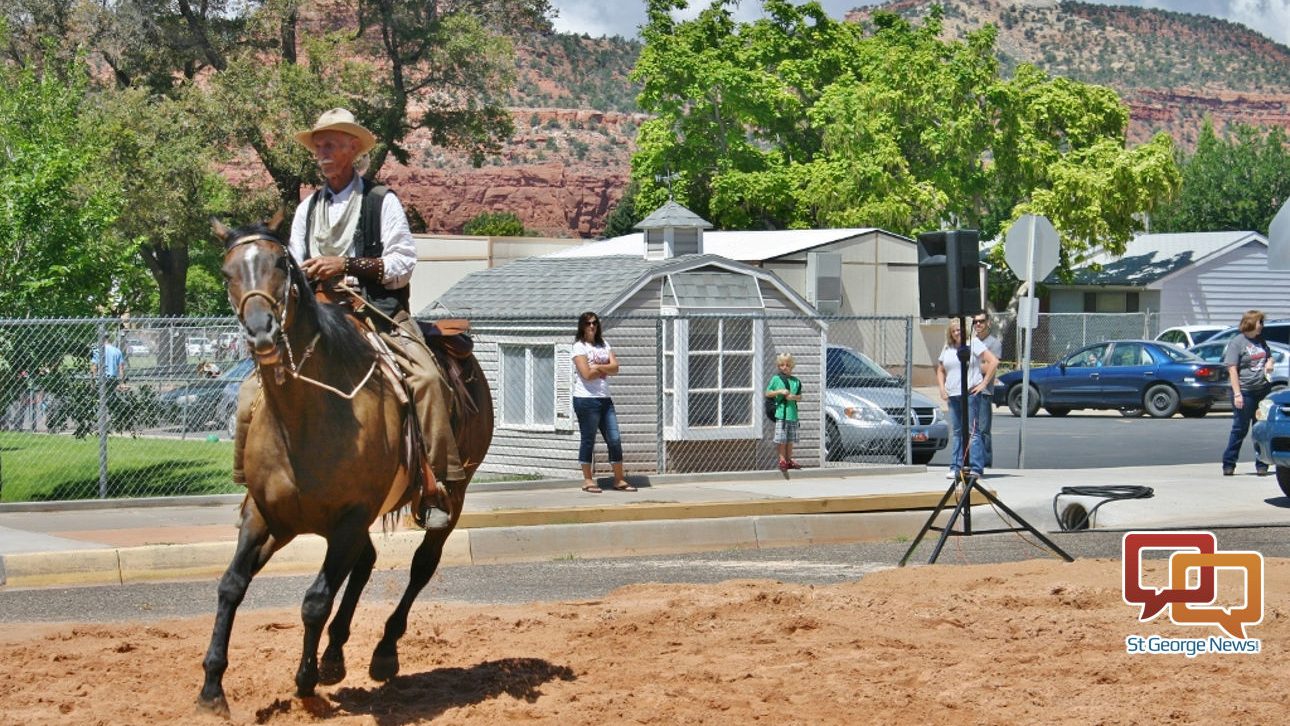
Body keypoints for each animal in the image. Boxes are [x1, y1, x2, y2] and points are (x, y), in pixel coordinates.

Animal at [197, 215, 492, 716]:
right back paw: (335, 654)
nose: (261, 332)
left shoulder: (351, 517)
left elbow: (315, 600)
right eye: (226, 271)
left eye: (281, 264)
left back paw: (383, 653)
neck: (304, 420)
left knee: (421, 565)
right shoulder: (264, 514)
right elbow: (231, 584)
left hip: (453, 494)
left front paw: (305, 682)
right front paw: (212, 688)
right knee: (366, 562)